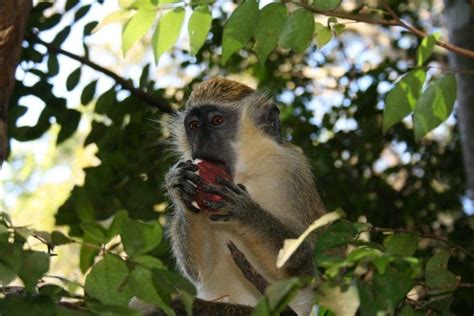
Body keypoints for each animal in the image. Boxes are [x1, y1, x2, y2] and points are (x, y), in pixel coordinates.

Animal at [131, 79, 328, 316]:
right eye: (194, 125)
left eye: (217, 121)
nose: (201, 141)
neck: (245, 172)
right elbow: (200, 270)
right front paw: (178, 185)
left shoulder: (292, 171)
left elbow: (303, 261)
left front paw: (246, 212)